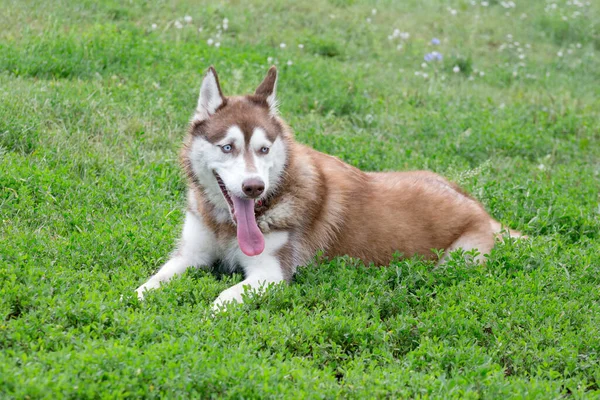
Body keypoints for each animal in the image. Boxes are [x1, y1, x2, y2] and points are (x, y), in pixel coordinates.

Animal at [136, 67, 520, 308]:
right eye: (228, 147)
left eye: (264, 149)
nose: (254, 187)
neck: (226, 225)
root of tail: (480, 209)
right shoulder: (190, 255)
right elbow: (148, 284)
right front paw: (132, 300)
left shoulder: (271, 274)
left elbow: (219, 302)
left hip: (459, 261)